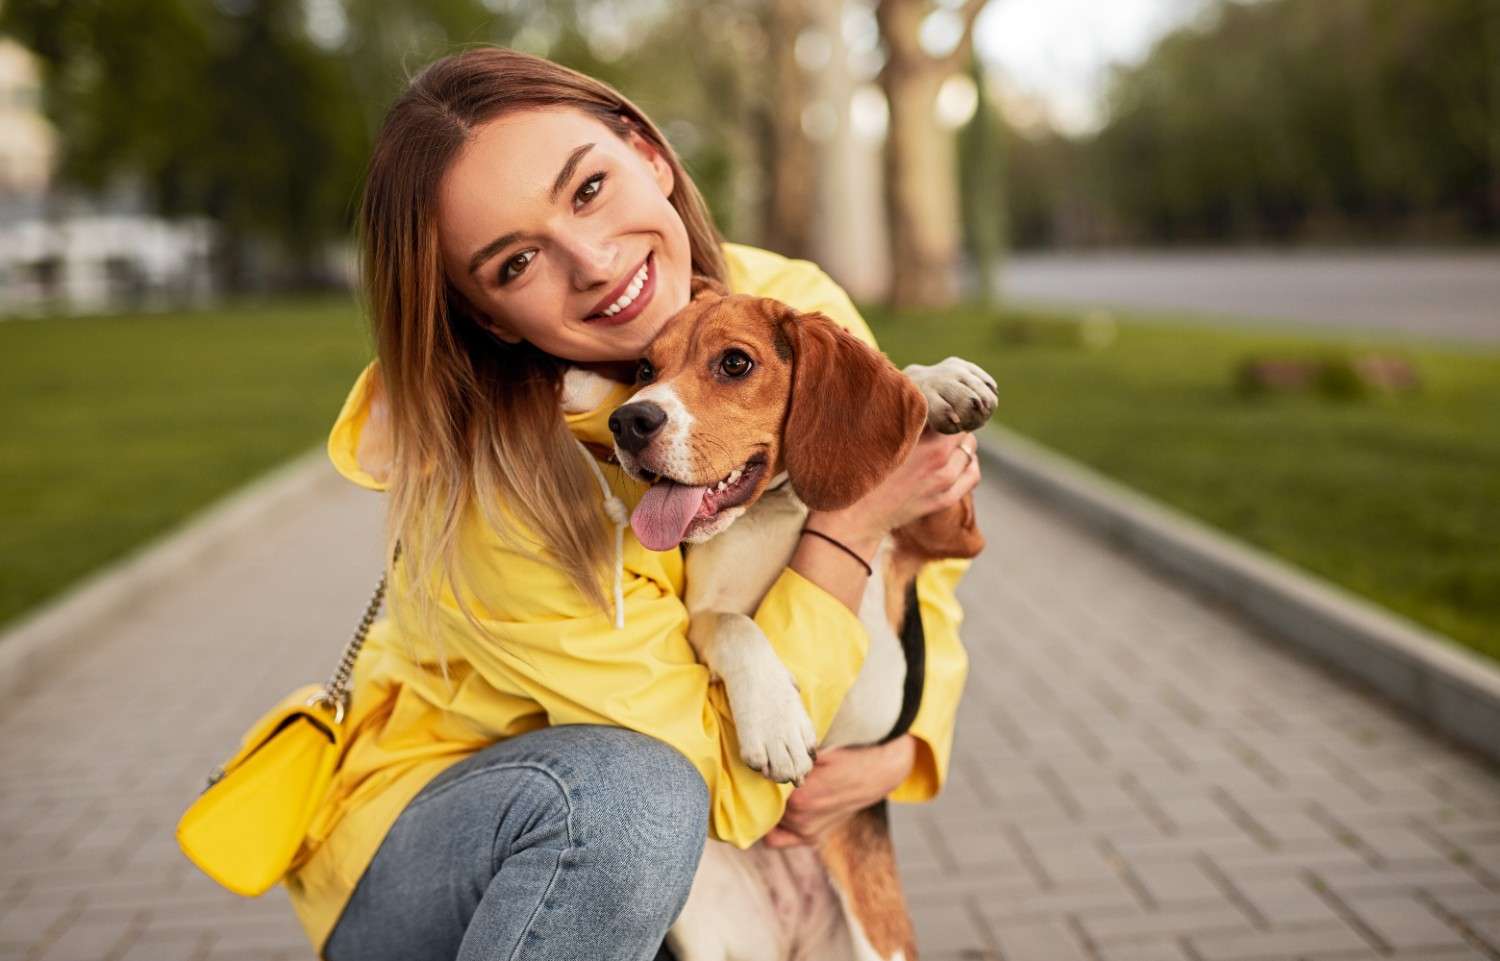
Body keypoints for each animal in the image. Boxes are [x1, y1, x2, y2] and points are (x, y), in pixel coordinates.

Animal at [585, 277, 996, 959]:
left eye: (735, 363)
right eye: (645, 369)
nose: (629, 421)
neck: (784, 503)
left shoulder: (953, 532)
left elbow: (910, 404)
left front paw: (939, 384)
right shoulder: (703, 615)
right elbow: (738, 627)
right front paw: (775, 727)